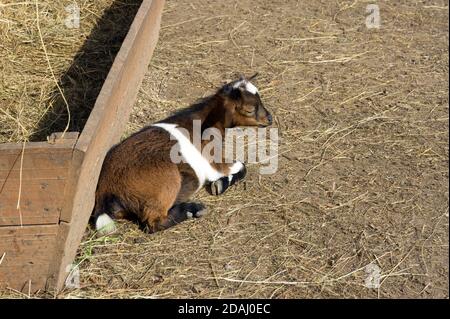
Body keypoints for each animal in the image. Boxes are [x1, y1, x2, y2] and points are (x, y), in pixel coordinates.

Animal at [93, 75, 272, 235]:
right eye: (249, 109)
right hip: (168, 181)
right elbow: (242, 166)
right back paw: (193, 210)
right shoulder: (213, 162)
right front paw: (220, 185)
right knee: (152, 223)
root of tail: (106, 190)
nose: (269, 119)